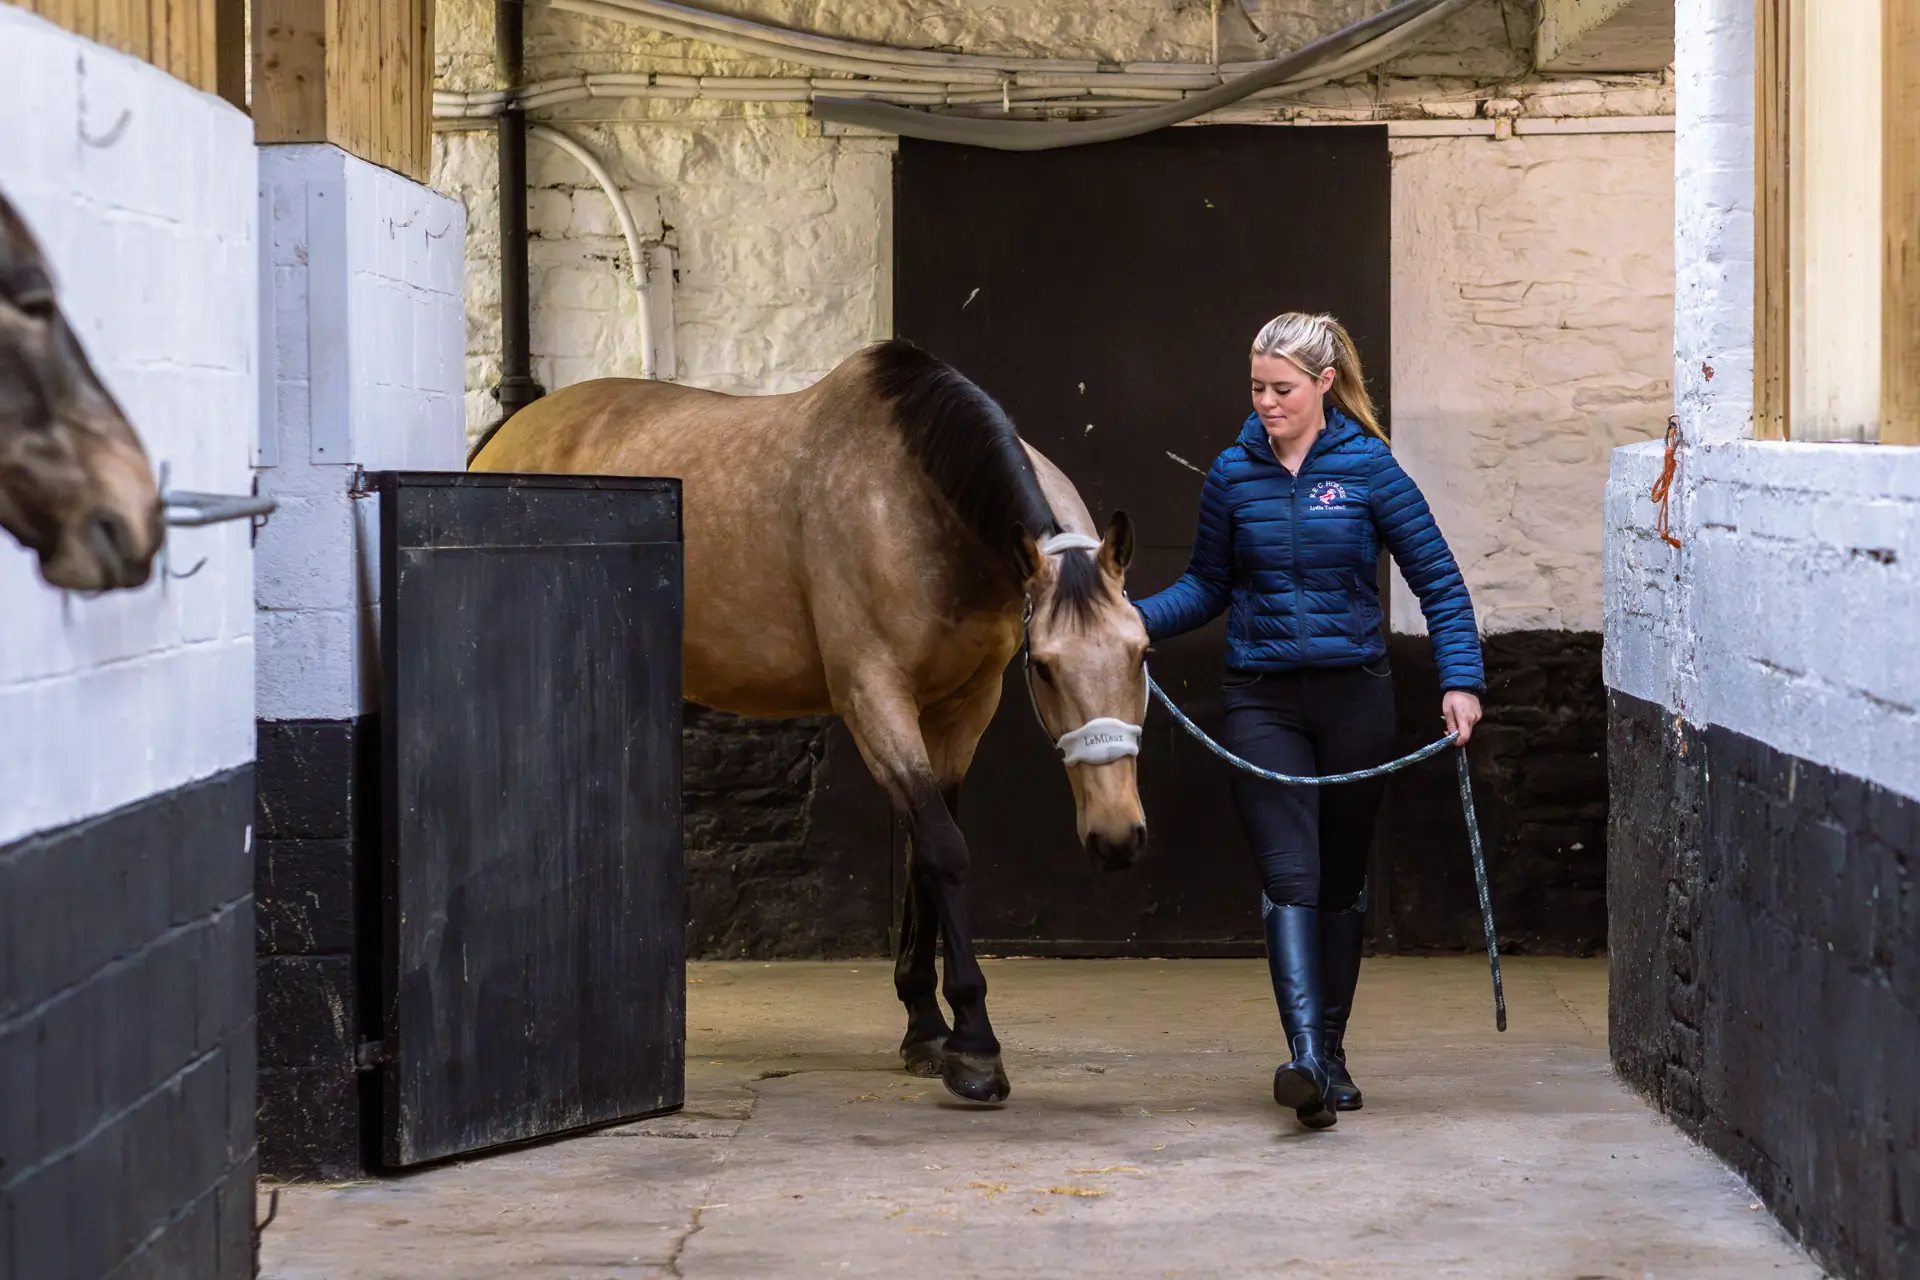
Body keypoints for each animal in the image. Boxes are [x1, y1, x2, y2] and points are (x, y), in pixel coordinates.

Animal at [470, 339, 1150, 1102]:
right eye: (1045, 667)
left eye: (1142, 651)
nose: (1117, 836)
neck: (920, 504)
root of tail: (506, 435)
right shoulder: (873, 697)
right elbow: (943, 850)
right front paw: (974, 1047)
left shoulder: (963, 709)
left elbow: (924, 854)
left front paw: (925, 1028)